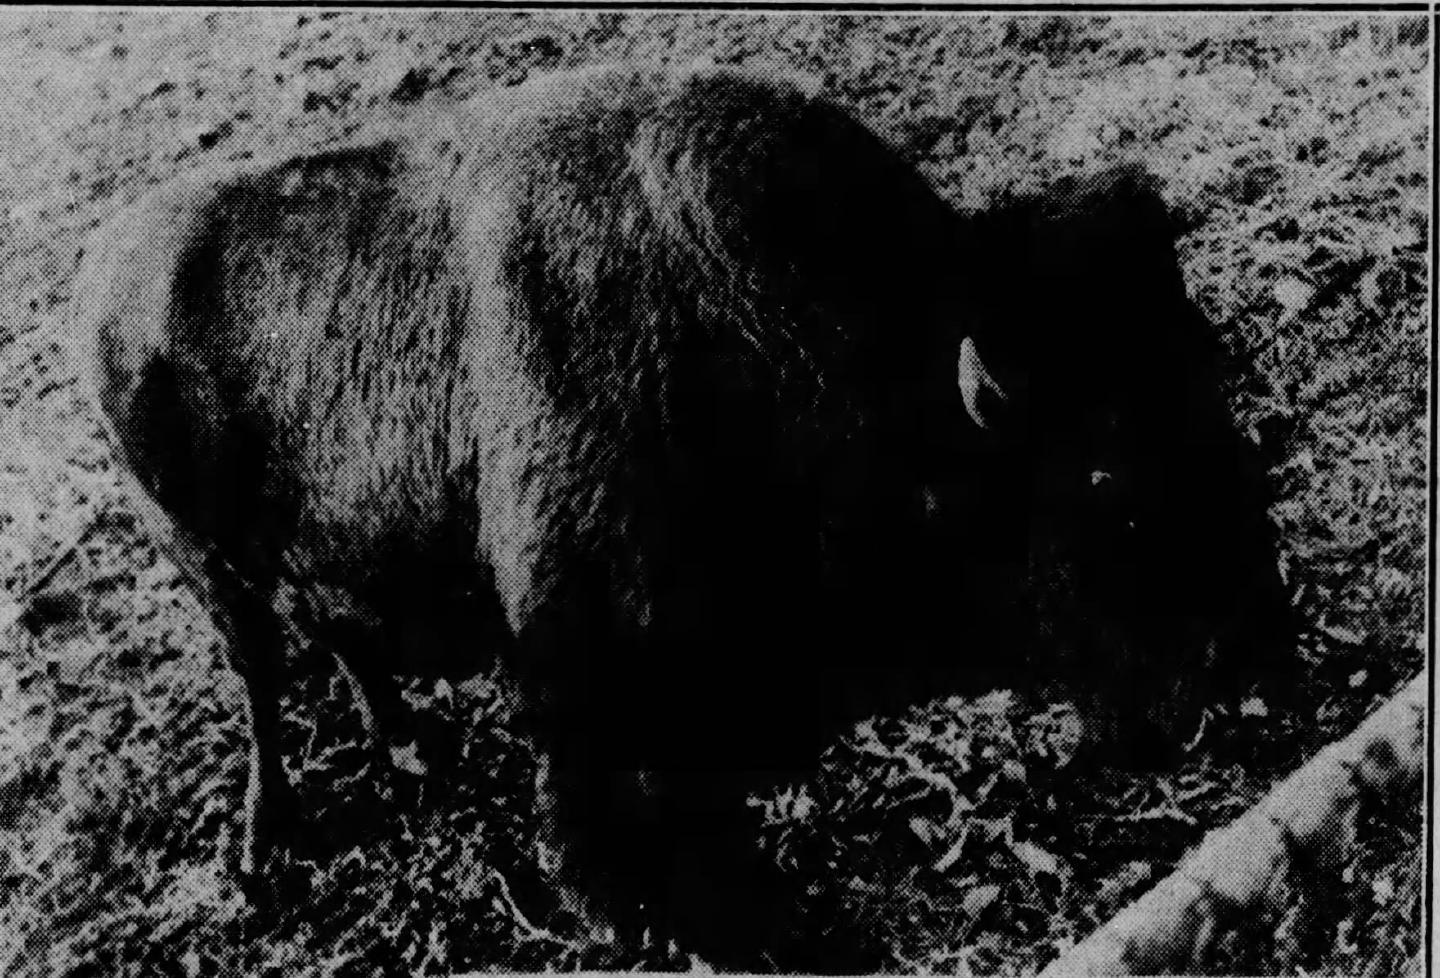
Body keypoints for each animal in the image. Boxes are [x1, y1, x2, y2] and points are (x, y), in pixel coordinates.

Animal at [72, 64, 1293, 962]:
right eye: (1102, 478)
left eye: (1210, 380)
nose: (1249, 655)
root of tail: (104, 276)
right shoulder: (587, 705)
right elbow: (616, 853)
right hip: (210, 570)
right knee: (263, 681)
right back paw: (264, 840)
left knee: (347, 643)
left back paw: (409, 750)